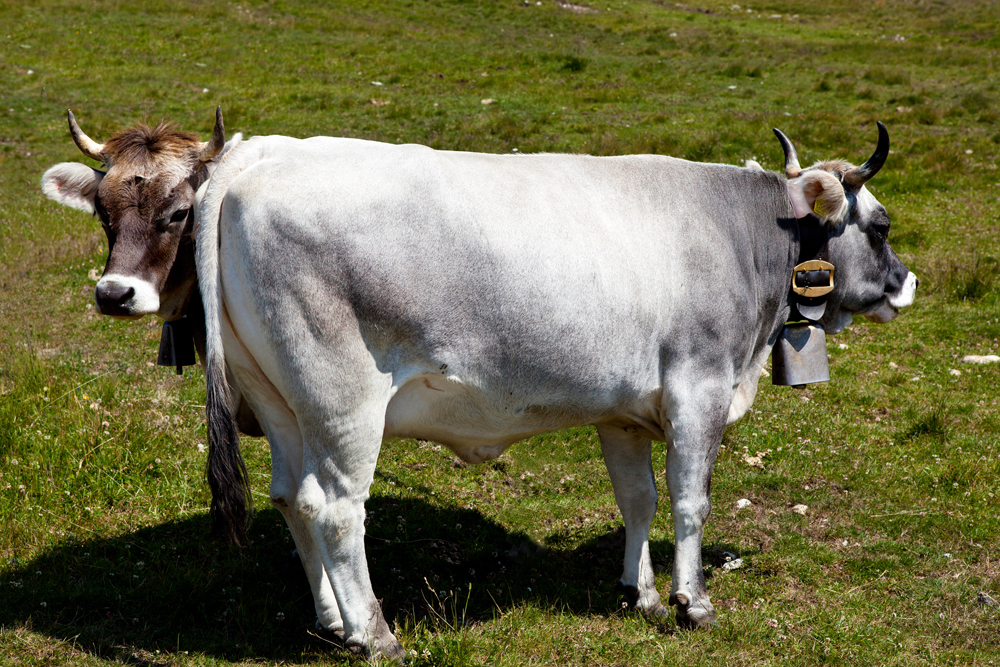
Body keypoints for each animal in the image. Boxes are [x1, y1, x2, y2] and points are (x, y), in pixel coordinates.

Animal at [41, 112, 916, 660]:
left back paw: (331, 621)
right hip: (342, 397)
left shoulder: (624, 411)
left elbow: (636, 499)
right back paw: (375, 634)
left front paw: (635, 591)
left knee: (292, 497)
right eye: (879, 225)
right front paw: (689, 602)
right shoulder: (699, 386)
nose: (906, 282)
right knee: (335, 505)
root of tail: (259, 159)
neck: (739, 231)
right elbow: (690, 501)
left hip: (280, 397)